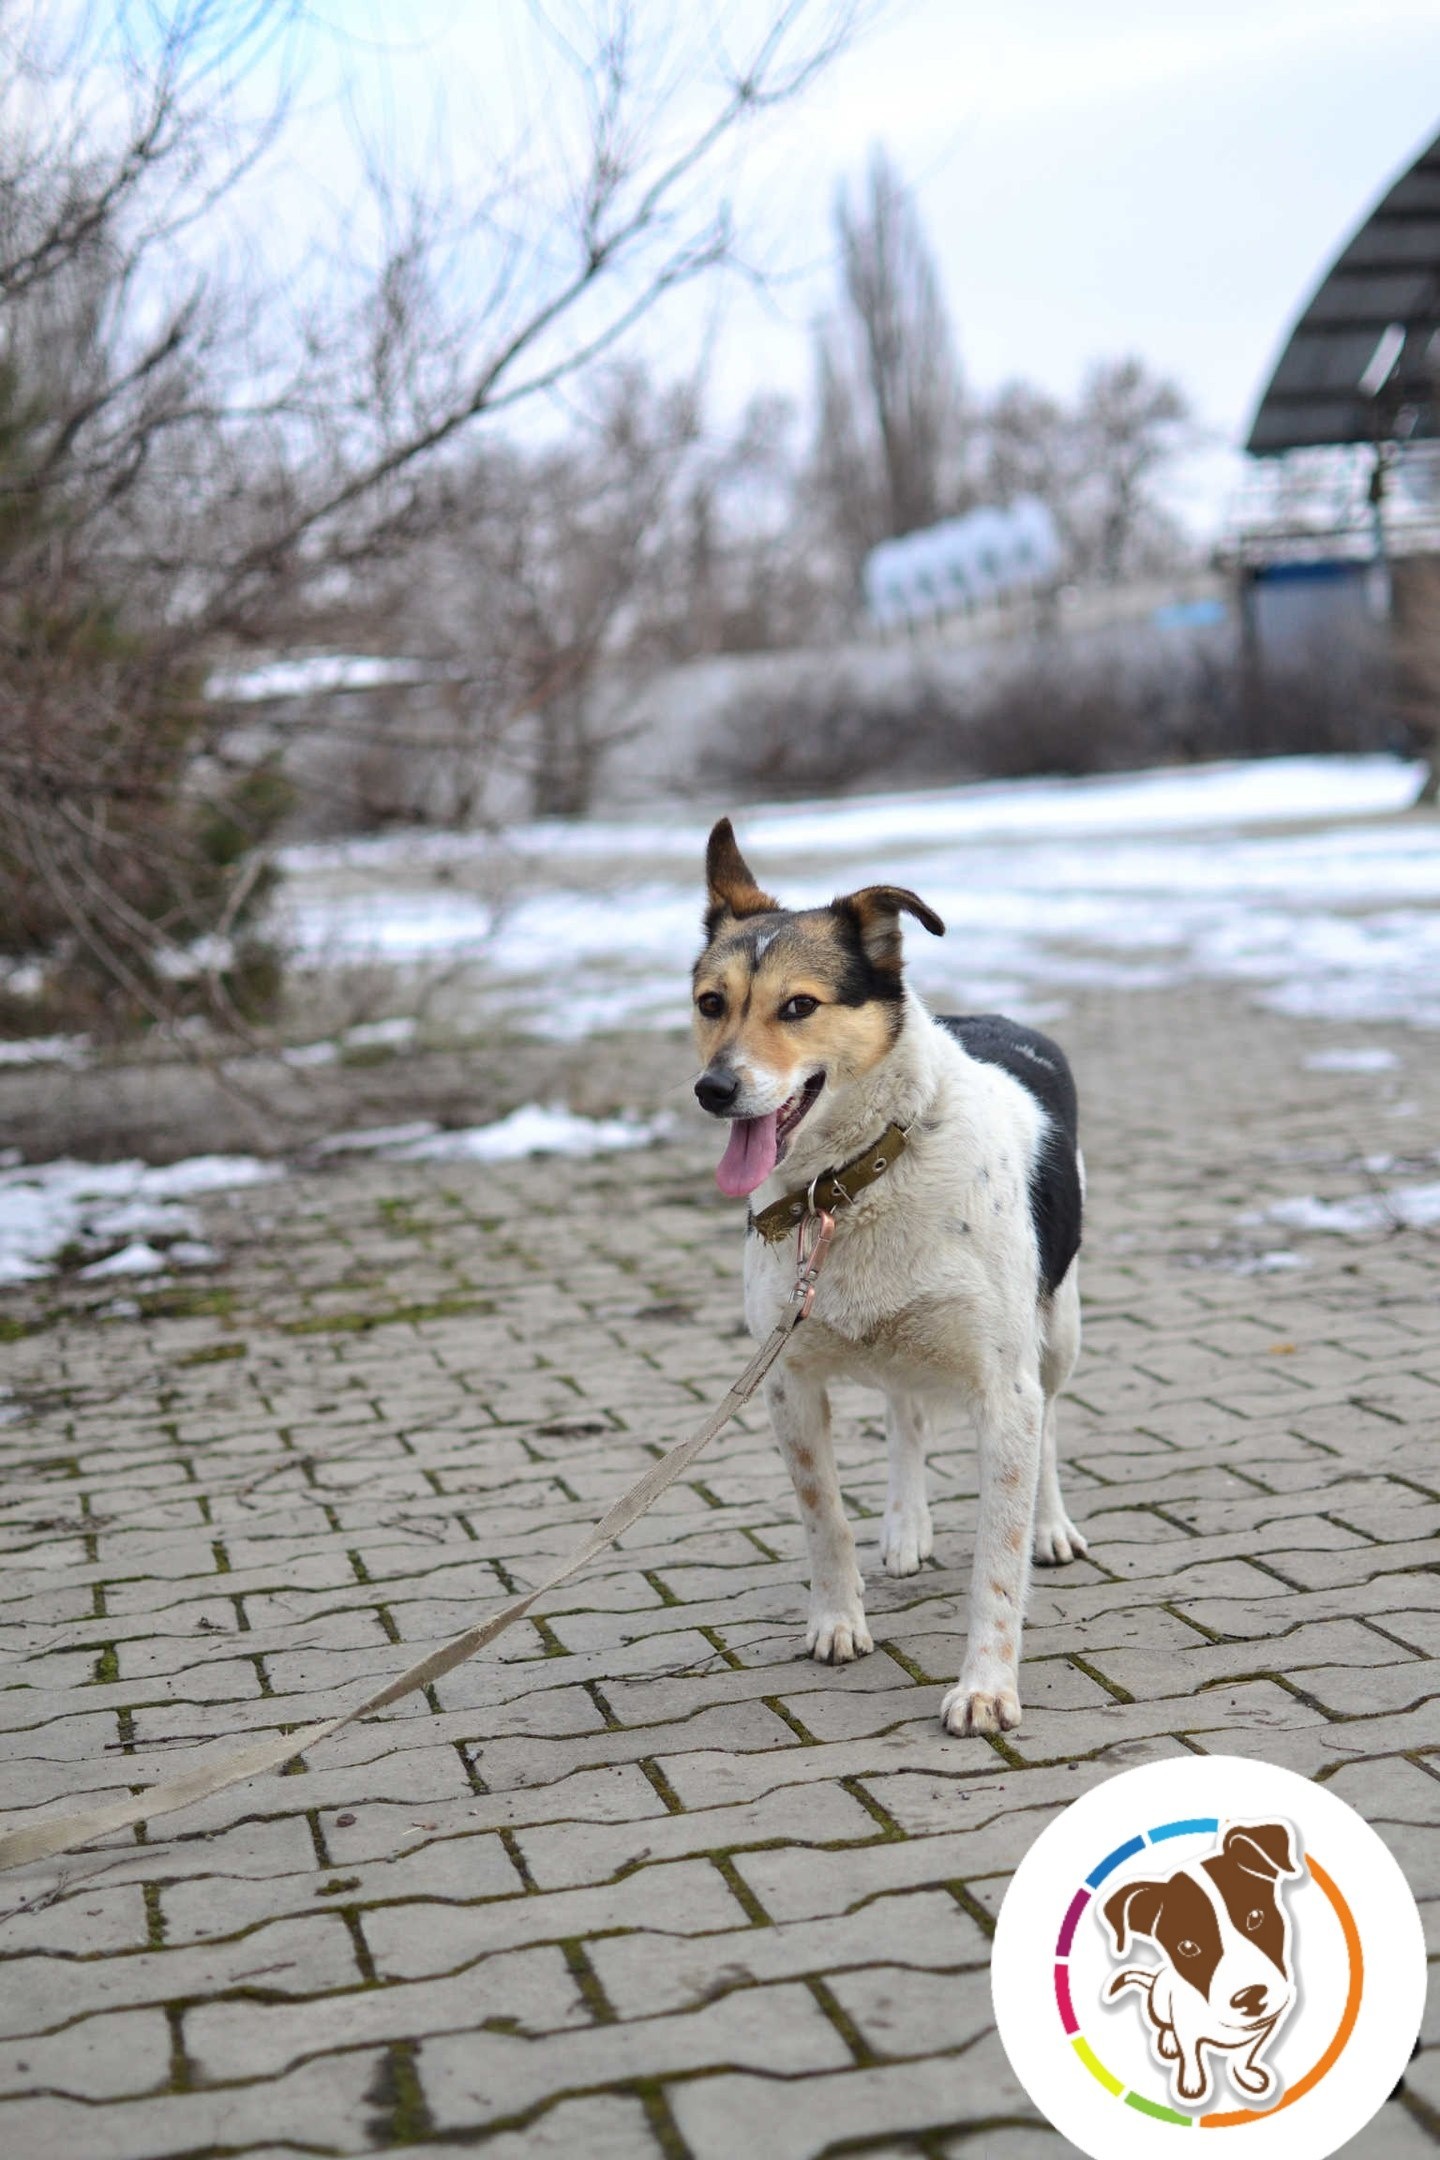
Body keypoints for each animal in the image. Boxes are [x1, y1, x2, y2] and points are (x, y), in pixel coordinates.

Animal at [690, 812, 1088, 1736]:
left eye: (798, 1006)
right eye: (710, 1004)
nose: (714, 1089)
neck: (852, 1180)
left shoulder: (1005, 1389)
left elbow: (996, 1564)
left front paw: (986, 1687)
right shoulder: (788, 1381)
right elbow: (823, 1518)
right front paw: (838, 1620)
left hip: (1058, 1331)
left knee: (1052, 1425)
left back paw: (1052, 1526)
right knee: (906, 1413)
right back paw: (906, 1526)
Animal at [1105, 1823, 1303, 2108]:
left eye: (1255, 1916)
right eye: (1187, 1947)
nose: (1250, 1997)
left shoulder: (1266, 2027)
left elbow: (1245, 2056)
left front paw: (1246, 2076)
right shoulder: (1187, 2033)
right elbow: (1191, 2059)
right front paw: (1192, 2085)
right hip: (1160, 2004)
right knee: (1165, 2027)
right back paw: (1168, 2043)